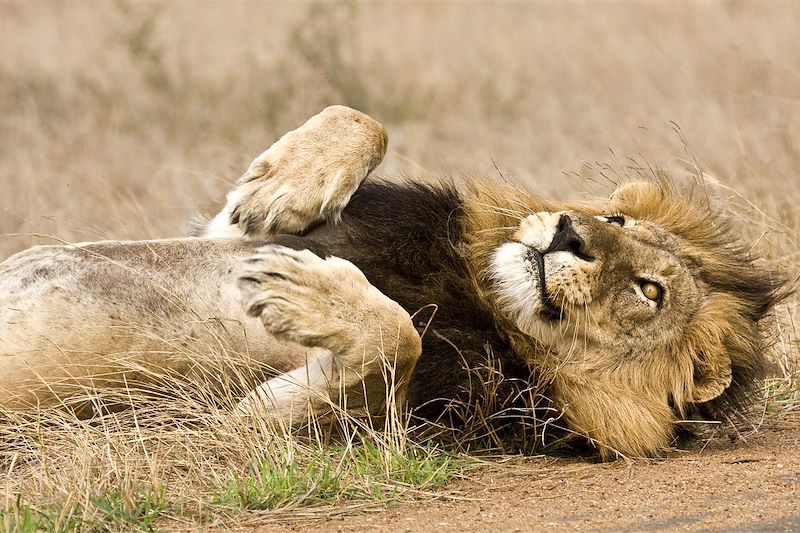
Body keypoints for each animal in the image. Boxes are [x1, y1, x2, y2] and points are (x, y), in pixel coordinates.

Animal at [0, 105, 788, 458]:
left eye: (650, 292)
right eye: (615, 218)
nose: (569, 232)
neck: (479, 290)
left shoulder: (230, 428)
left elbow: (396, 334)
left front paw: (302, 290)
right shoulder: (224, 235)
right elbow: (359, 121)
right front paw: (287, 183)